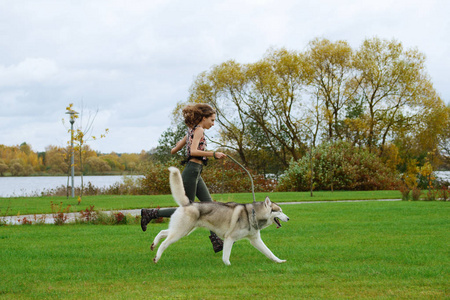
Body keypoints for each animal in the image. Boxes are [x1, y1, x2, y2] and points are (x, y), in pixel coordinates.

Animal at [150, 168, 292, 266]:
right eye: (279, 211)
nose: (289, 218)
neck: (253, 214)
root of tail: (188, 203)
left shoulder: (255, 240)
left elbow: (269, 253)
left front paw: (279, 261)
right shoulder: (229, 238)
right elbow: (225, 256)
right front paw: (228, 265)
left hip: (183, 230)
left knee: (162, 232)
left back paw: (153, 244)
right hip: (181, 231)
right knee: (164, 243)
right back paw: (156, 257)